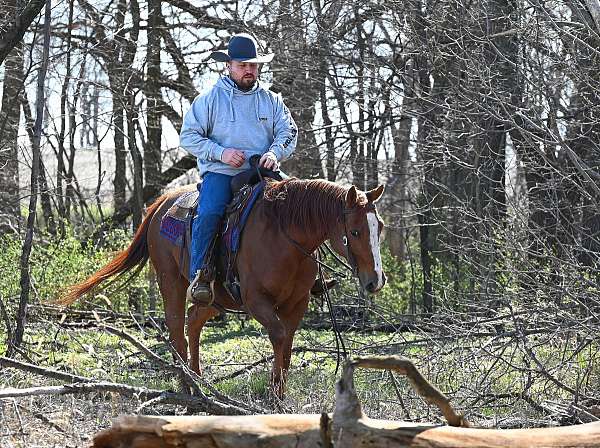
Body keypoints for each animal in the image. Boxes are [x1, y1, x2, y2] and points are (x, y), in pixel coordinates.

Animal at [61, 178, 386, 396]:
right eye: (354, 231)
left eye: (379, 227)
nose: (375, 280)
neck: (284, 235)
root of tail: (160, 204)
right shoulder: (257, 301)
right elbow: (279, 336)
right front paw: (273, 394)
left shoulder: (297, 303)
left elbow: (288, 345)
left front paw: (279, 394)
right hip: (171, 282)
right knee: (176, 328)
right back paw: (187, 385)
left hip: (216, 298)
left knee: (193, 321)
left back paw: (197, 377)